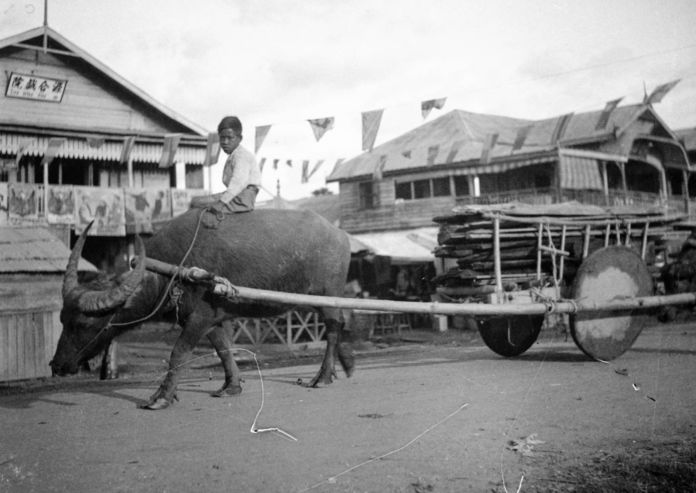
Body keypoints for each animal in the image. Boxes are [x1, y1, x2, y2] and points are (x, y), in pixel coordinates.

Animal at [50, 207, 354, 408]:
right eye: (62, 319)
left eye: (84, 324)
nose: (56, 365)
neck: (172, 271)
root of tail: (340, 234)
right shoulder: (211, 319)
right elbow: (223, 350)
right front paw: (231, 386)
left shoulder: (199, 318)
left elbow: (178, 353)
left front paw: (161, 397)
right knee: (341, 324)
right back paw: (345, 366)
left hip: (329, 296)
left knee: (334, 328)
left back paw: (323, 376)